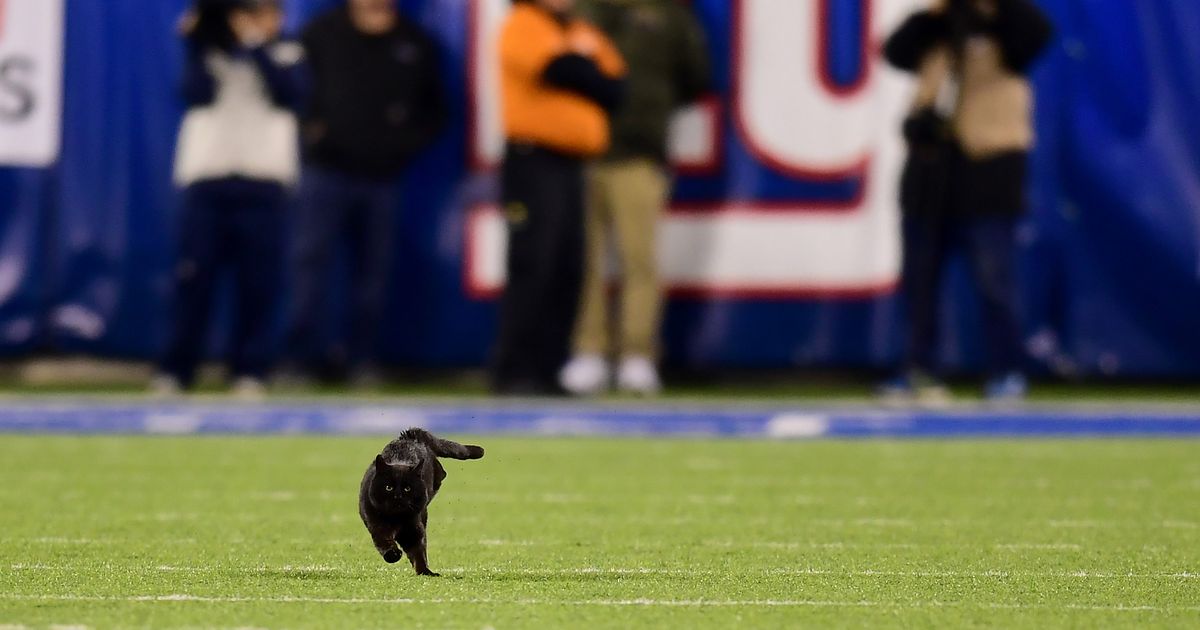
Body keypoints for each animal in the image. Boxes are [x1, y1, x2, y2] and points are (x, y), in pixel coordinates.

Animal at [357, 427, 484, 573]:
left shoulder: (413, 529)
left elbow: (418, 552)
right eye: (388, 487)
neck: (396, 519)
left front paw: (425, 572)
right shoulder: (376, 524)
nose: (398, 496)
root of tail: (410, 435)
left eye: (407, 488)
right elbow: (384, 541)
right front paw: (394, 555)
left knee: (442, 473)